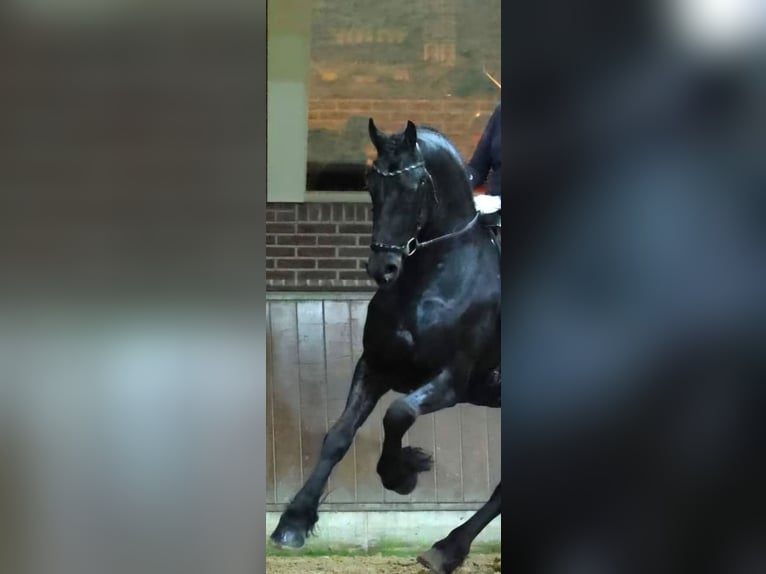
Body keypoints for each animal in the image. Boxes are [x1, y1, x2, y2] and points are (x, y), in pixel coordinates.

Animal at [270, 118, 502, 574]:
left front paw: (404, 473)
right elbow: (339, 435)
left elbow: (398, 414)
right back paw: (446, 548)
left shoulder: (452, 381)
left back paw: (446, 548)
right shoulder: (374, 366)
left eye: (414, 186)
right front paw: (293, 523)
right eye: (371, 185)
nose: (384, 268)